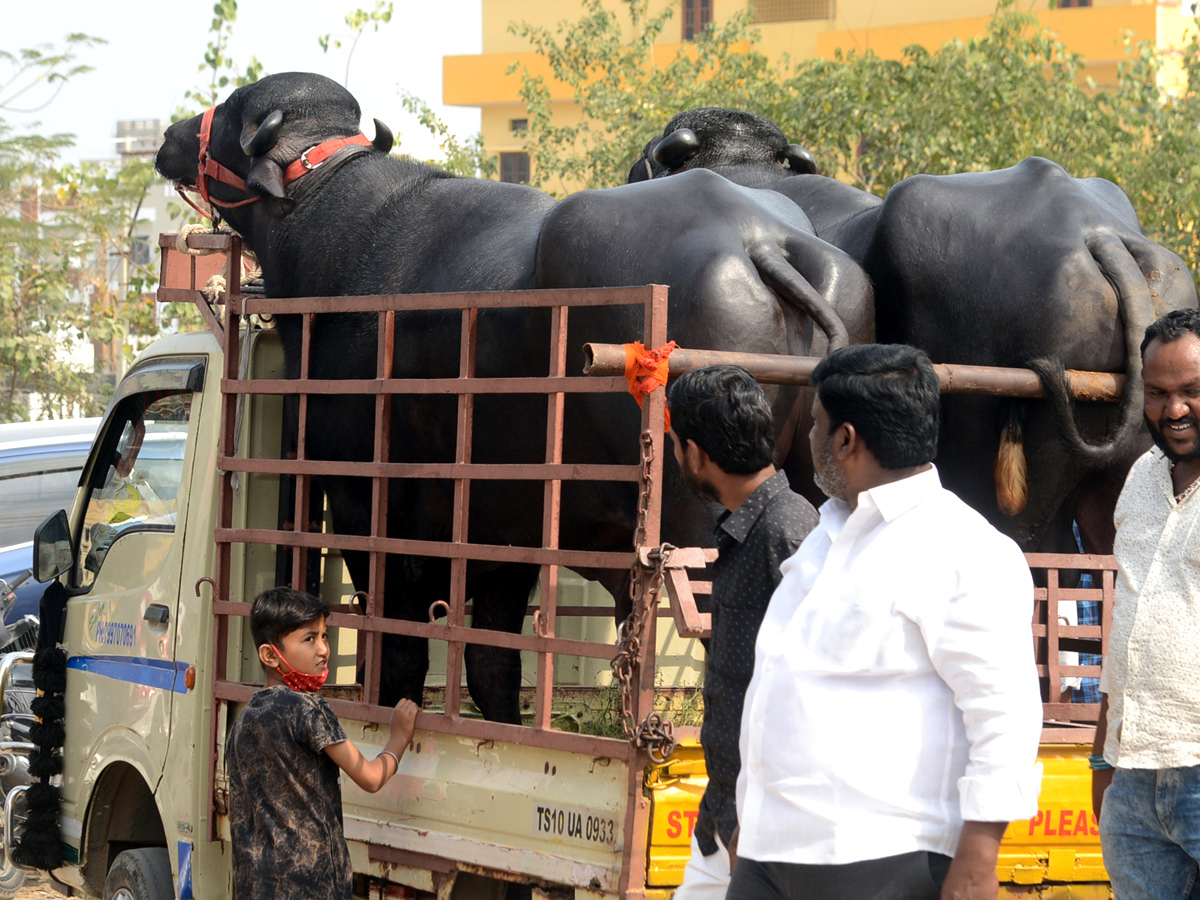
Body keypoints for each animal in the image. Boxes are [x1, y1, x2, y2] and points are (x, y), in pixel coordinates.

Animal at [154, 74, 873, 724]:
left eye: (231, 113)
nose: (168, 136)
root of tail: (763, 241)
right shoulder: (507, 531)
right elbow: (492, 662)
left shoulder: (367, 505)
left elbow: (399, 652)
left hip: (697, 515)